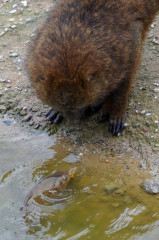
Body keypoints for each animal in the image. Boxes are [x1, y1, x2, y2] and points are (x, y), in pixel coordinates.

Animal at [27, 0, 159, 135]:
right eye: (63, 107)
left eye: (81, 106)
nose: (73, 121)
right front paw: (57, 111)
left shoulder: (127, 49)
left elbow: (125, 80)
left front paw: (117, 111)